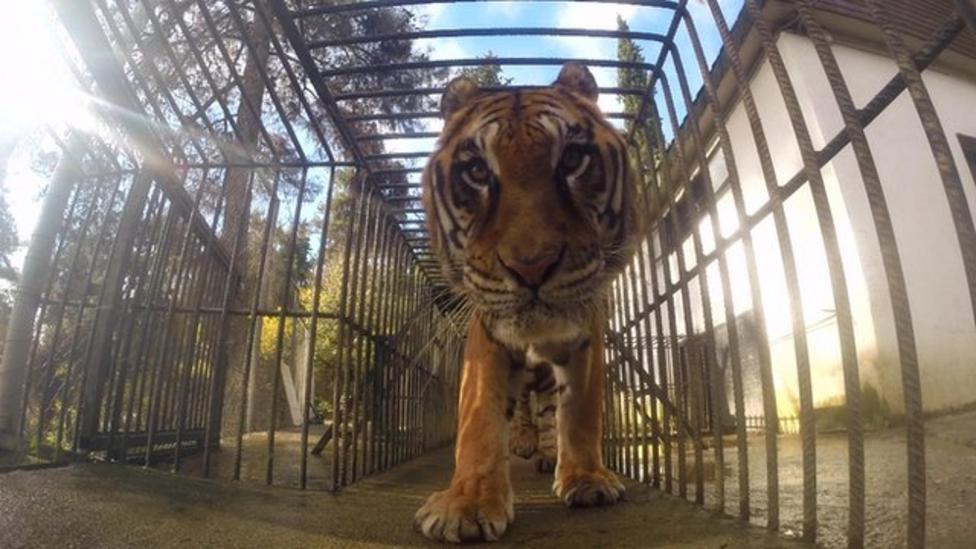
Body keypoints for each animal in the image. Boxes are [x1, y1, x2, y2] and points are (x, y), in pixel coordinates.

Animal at [414, 63, 640, 543]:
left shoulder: (584, 332)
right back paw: (521, 441)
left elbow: (579, 411)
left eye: (572, 159)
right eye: (477, 170)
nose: (531, 266)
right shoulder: (488, 331)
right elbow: (481, 417)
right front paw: (467, 504)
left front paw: (586, 479)